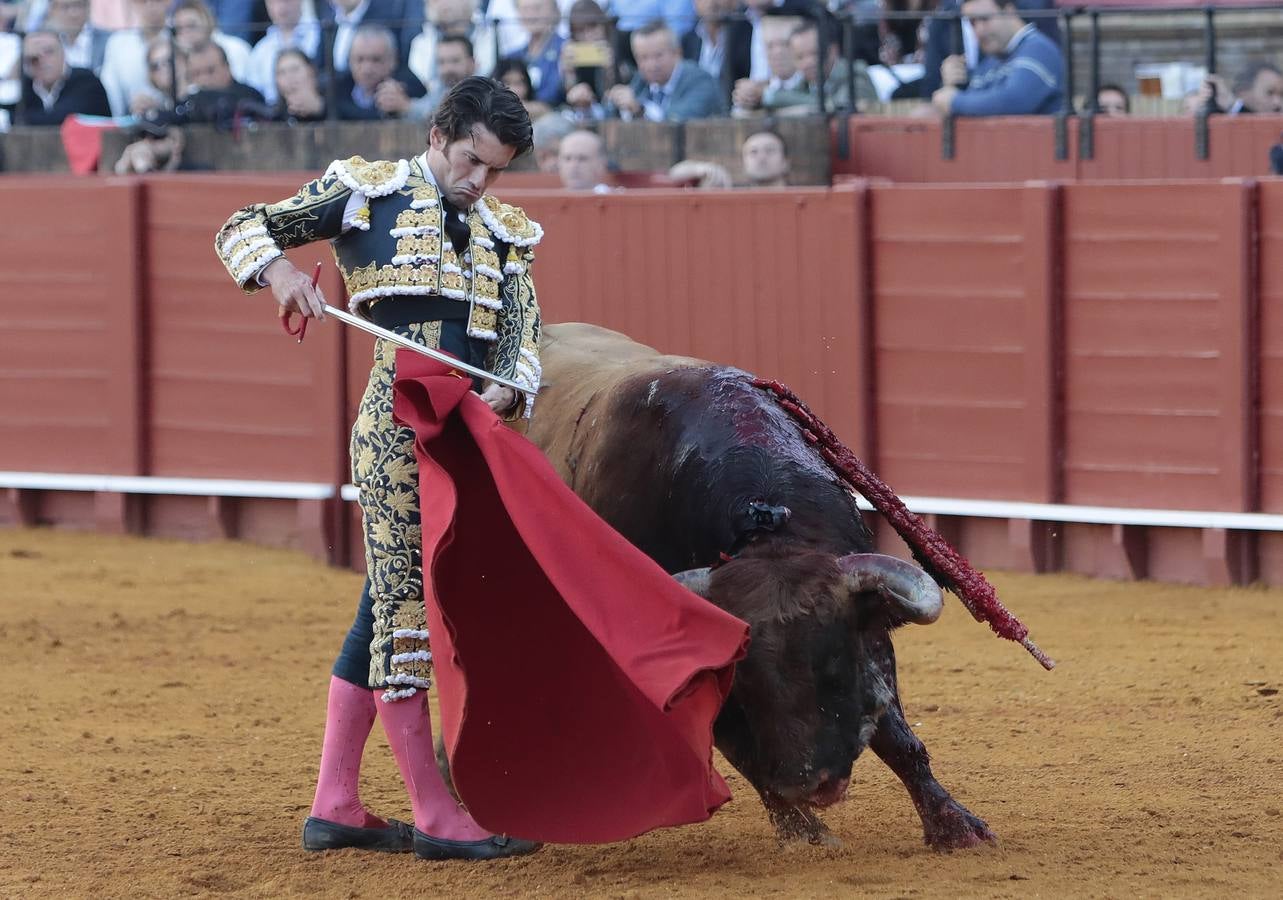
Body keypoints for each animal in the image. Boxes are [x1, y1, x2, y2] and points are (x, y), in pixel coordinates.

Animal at [528, 324, 1000, 847]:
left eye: (834, 665)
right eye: (746, 678)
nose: (810, 783)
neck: (768, 528)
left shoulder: (872, 637)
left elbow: (899, 740)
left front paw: (955, 827)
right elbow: (743, 753)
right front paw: (806, 835)